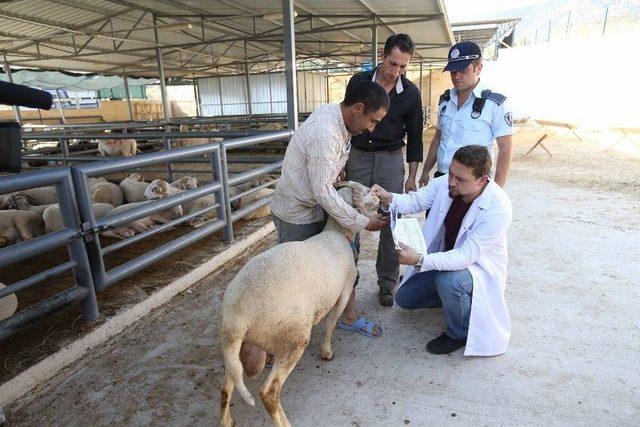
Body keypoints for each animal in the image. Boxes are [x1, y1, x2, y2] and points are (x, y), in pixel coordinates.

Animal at [220, 181, 380, 427]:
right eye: (367, 192)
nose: (381, 198)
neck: (338, 233)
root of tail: (236, 317)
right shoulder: (343, 292)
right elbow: (331, 323)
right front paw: (327, 352)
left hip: (237, 348)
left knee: (226, 386)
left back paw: (226, 420)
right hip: (292, 337)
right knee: (269, 392)